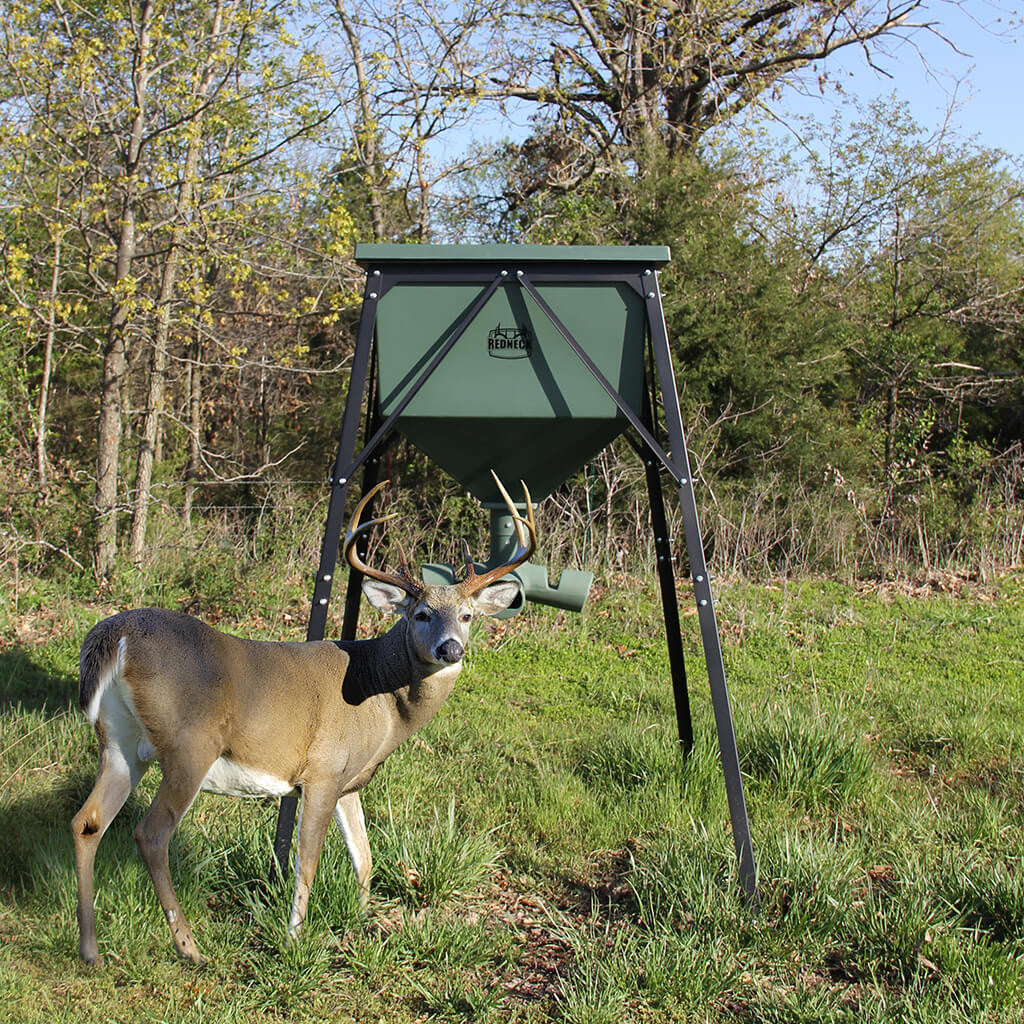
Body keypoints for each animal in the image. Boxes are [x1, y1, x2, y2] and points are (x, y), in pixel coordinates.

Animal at [71, 473, 535, 965]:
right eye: (422, 614)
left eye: (467, 615)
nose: (451, 648)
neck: (381, 698)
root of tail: (114, 636)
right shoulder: (322, 771)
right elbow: (306, 862)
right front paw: (295, 941)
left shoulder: (349, 782)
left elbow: (364, 857)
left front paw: (361, 920)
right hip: (190, 745)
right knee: (151, 834)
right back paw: (190, 948)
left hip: (120, 743)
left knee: (88, 822)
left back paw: (90, 949)